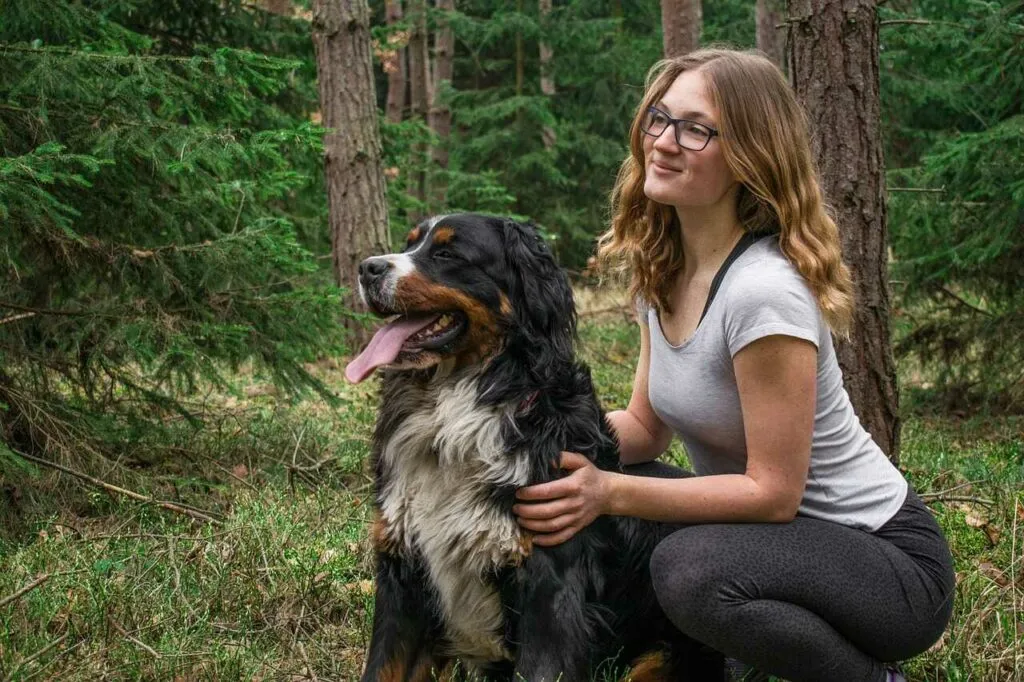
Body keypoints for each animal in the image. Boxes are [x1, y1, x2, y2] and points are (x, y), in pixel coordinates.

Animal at [344, 214, 720, 679]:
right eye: (409, 243)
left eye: (447, 253)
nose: (367, 268)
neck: (455, 413)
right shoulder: (403, 575)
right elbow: (383, 666)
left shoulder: (550, 588)